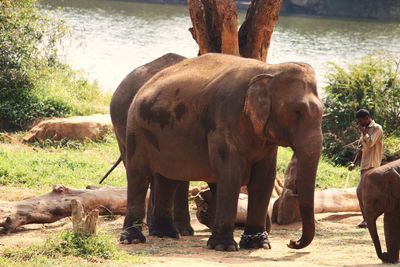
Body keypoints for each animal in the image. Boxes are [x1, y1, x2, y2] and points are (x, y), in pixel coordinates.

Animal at [120, 53, 324, 252]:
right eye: (297, 112)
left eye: (322, 112)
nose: (292, 242)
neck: (270, 69)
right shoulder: (224, 120)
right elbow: (230, 176)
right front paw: (223, 247)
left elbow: (263, 179)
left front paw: (258, 244)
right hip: (136, 131)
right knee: (139, 176)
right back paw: (133, 240)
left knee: (168, 179)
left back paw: (166, 234)